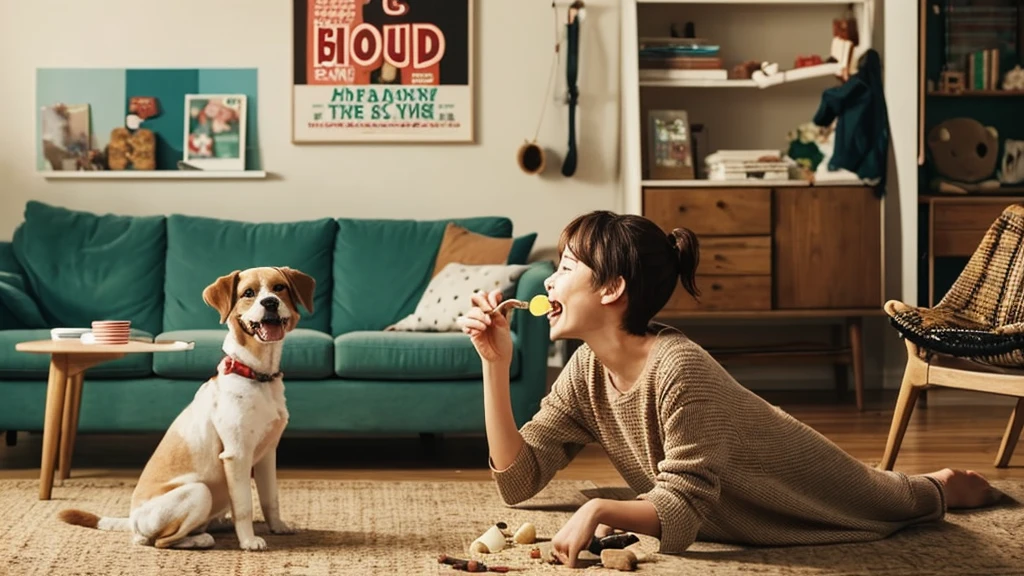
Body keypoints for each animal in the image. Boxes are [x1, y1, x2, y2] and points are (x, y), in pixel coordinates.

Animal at [58, 266, 315, 549]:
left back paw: (218, 525)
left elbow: (271, 499)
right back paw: (202, 538)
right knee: (161, 541)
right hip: (199, 492)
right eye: (248, 293)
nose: (270, 302)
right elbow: (245, 506)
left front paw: (278, 527)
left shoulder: (268, 454)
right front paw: (248, 541)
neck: (257, 374)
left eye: (279, 288)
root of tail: (133, 519)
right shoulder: (237, 455)